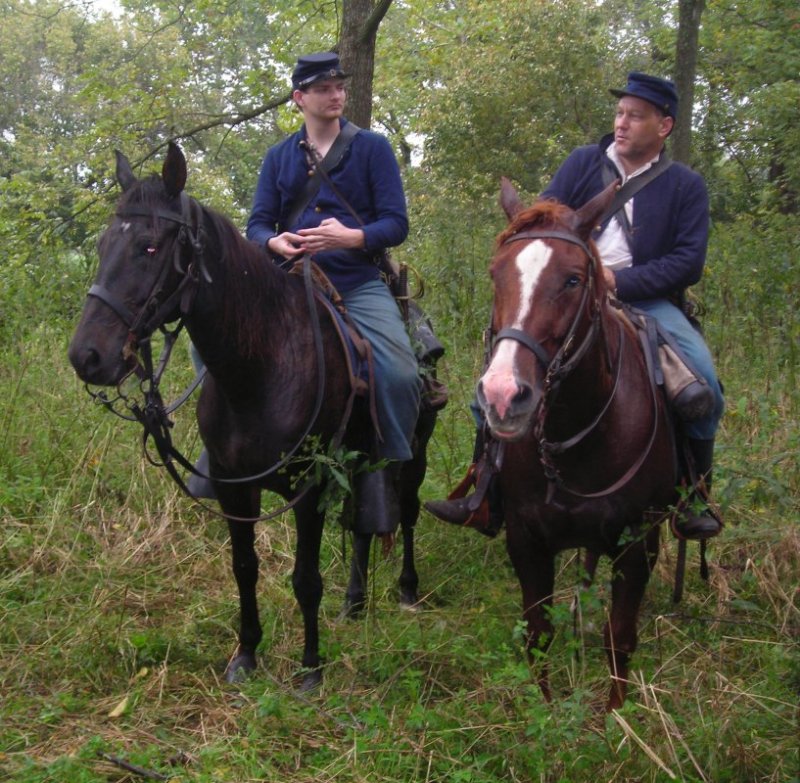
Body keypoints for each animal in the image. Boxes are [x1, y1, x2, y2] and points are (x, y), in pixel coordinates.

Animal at [67, 142, 438, 690]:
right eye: (101, 244)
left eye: (150, 248)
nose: (87, 356)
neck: (261, 369)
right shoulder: (232, 484)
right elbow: (244, 566)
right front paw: (245, 654)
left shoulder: (308, 485)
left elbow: (306, 578)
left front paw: (311, 668)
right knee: (361, 524)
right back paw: (354, 602)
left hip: (412, 454)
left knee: (406, 512)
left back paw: (409, 590)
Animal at [475, 177, 677, 710]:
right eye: (495, 275)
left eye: (571, 280)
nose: (503, 395)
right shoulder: (526, 541)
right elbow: (538, 634)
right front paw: (542, 712)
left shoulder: (637, 546)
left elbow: (620, 637)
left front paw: (614, 718)